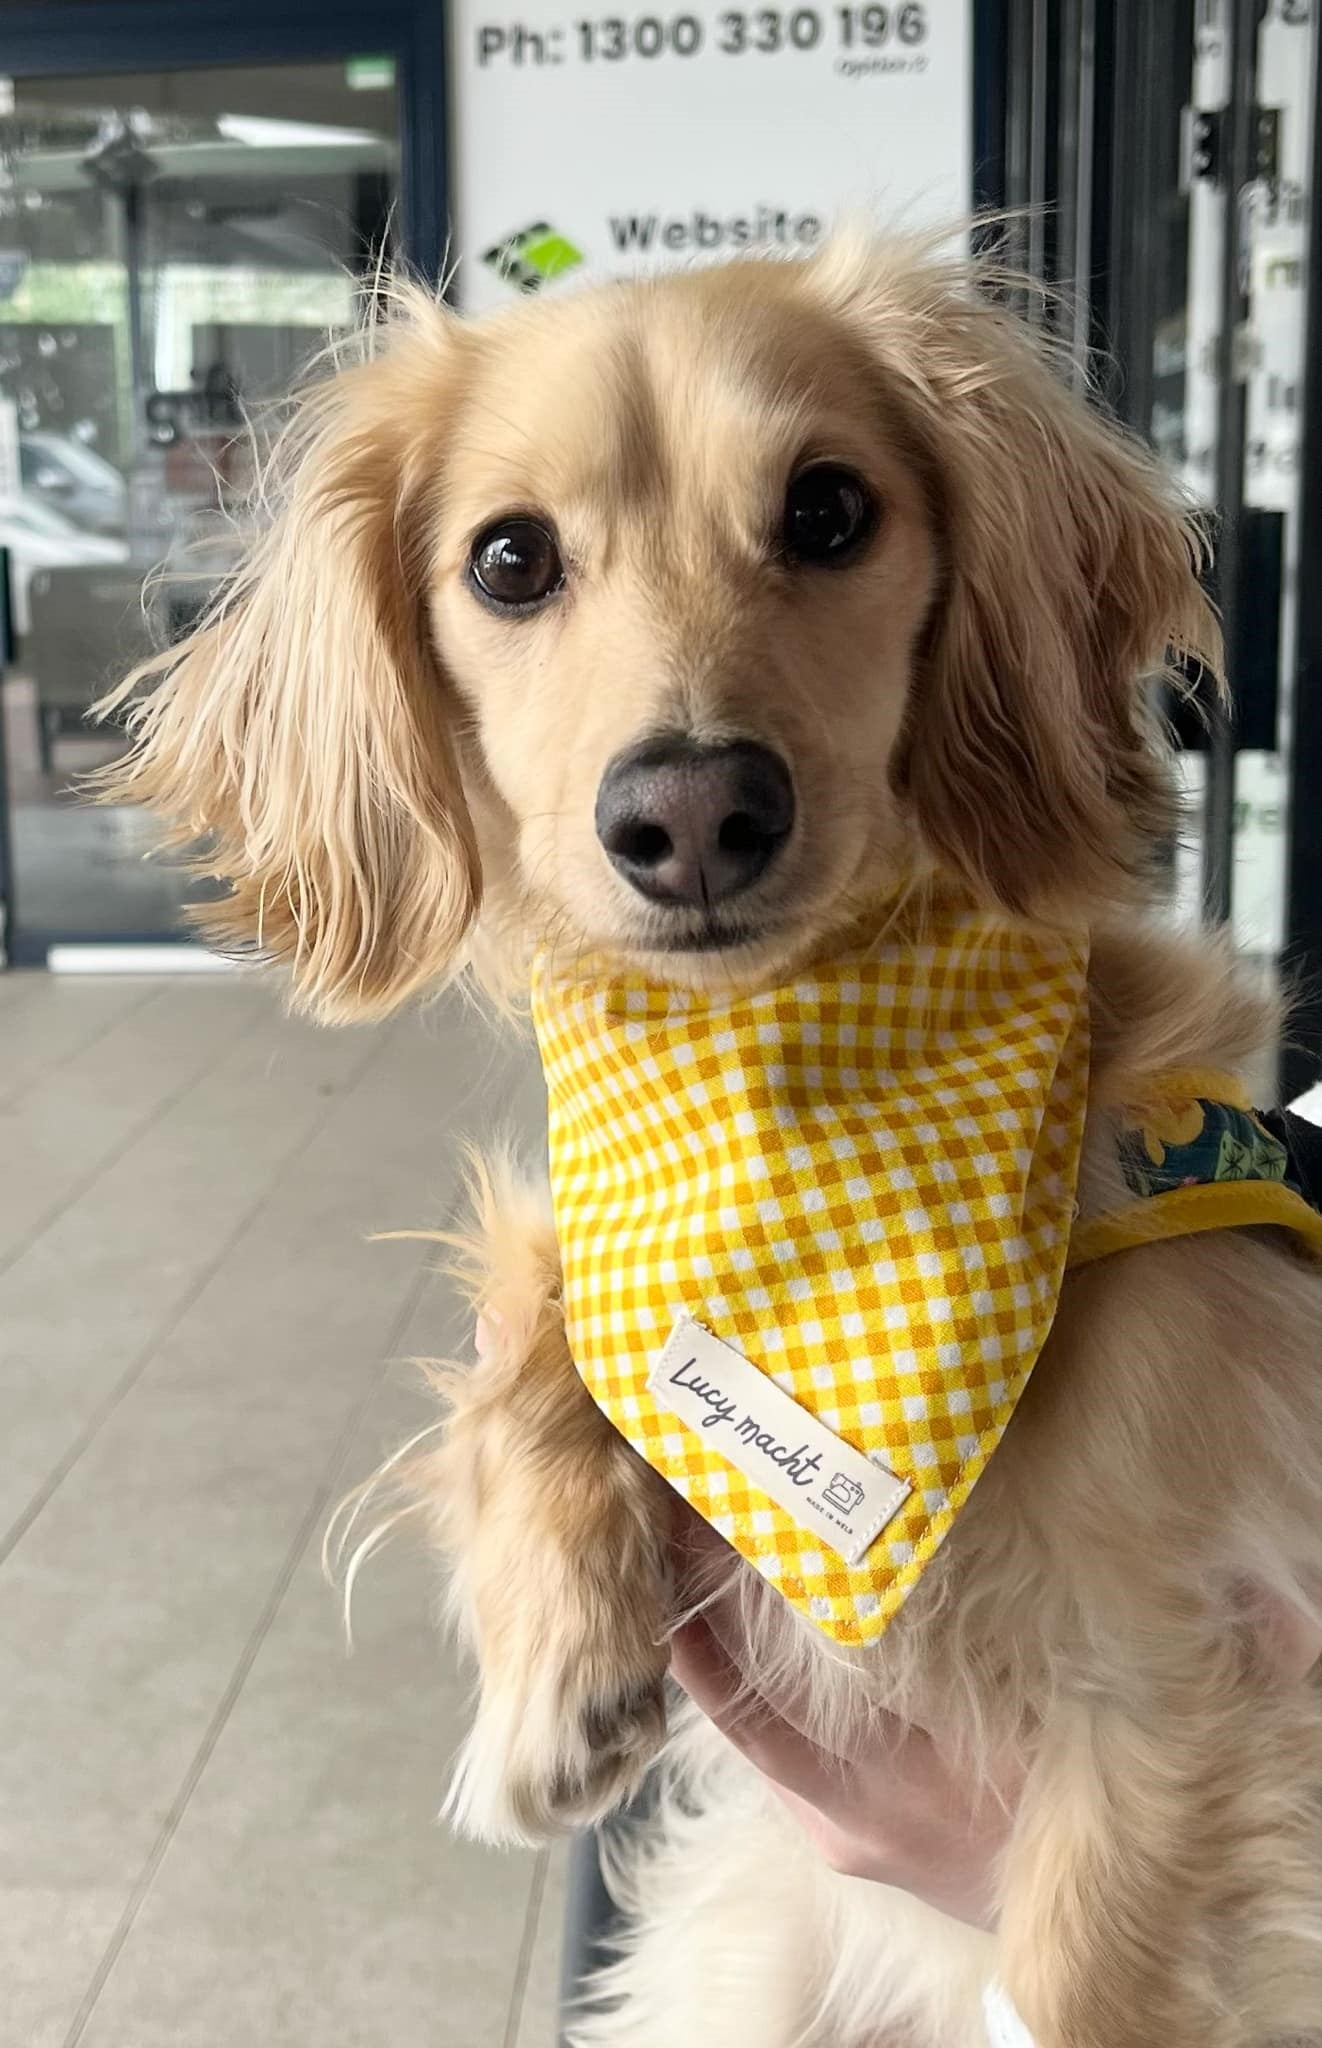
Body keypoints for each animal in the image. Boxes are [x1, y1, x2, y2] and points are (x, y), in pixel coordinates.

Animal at [95, 239, 1322, 2048]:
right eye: (508, 557)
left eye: (827, 508)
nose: (688, 812)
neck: (787, 1120)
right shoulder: (607, 1234)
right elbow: (539, 1330)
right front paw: (552, 1674)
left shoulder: (1186, 1653)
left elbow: (1074, 1964)